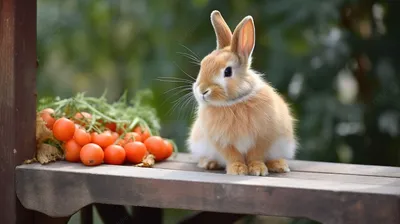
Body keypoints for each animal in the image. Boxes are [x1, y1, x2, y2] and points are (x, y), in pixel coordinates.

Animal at [187, 10, 296, 175]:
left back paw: (279, 165)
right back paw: (209, 163)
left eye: (227, 71)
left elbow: (255, 155)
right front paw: (237, 170)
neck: (234, 103)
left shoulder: (262, 138)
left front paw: (258, 169)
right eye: (203, 64)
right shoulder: (223, 141)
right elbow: (233, 156)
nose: (202, 91)